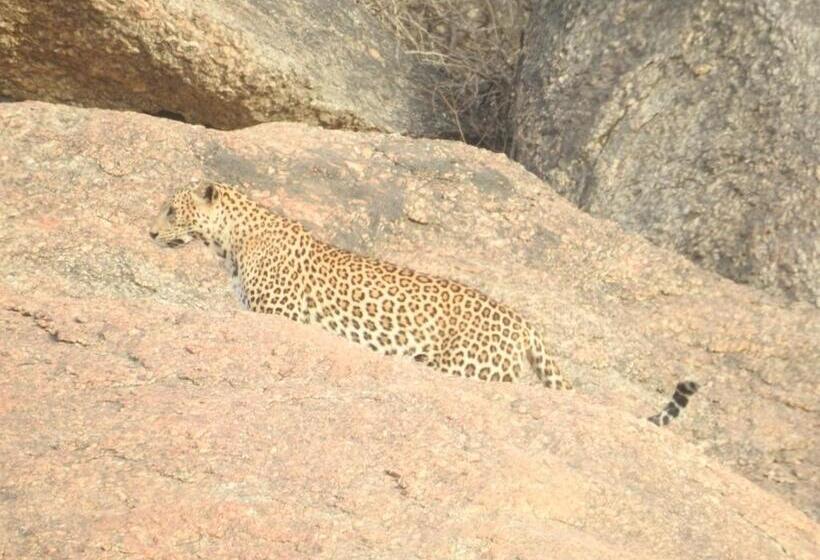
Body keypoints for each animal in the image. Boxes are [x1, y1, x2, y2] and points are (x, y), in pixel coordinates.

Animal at [150, 182, 698, 424]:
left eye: (172, 210)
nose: (150, 232)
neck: (230, 242)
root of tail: (524, 322)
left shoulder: (279, 314)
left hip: (462, 365)